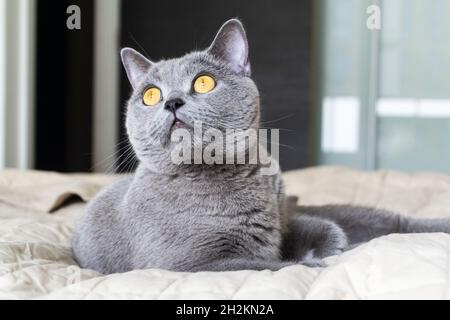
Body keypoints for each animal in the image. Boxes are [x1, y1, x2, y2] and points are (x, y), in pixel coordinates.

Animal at [72, 18, 450, 274]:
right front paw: (311, 262)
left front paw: (324, 247)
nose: (172, 102)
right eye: (151, 95)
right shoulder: (186, 265)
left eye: (204, 82)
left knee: (394, 222)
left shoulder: (285, 220)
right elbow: (265, 263)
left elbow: (307, 232)